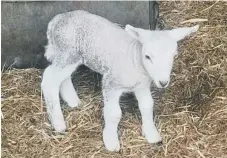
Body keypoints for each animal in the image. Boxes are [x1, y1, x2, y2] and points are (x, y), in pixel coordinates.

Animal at [41, 10, 199, 152]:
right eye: (147, 56)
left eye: (174, 55)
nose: (163, 82)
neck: (135, 59)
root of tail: (55, 20)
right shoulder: (111, 83)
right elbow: (114, 113)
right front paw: (111, 141)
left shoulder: (142, 86)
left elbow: (147, 106)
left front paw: (151, 133)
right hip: (69, 52)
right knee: (49, 78)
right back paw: (58, 122)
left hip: (67, 55)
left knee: (62, 77)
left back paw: (73, 101)